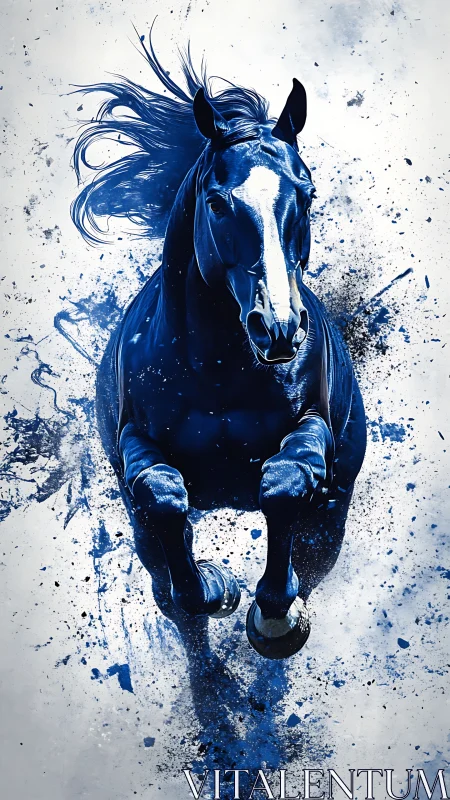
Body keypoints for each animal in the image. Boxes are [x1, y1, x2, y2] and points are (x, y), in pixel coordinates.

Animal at [71, 35, 367, 660]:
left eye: (307, 193)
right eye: (216, 202)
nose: (278, 326)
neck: (218, 373)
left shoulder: (313, 426)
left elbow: (285, 484)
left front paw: (274, 615)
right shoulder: (137, 440)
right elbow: (162, 499)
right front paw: (214, 586)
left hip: (333, 513)